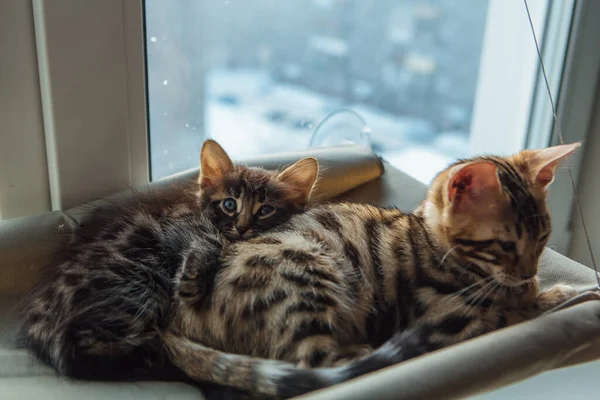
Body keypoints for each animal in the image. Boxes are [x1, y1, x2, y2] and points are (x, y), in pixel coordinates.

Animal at [19, 140, 318, 382]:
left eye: (265, 210)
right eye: (229, 205)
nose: (243, 228)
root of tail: (39, 322)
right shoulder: (178, 224)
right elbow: (207, 243)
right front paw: (192, 283)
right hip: (134, 283)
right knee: (80, 353)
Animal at [164, 142, 580, 398]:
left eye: (543, 239)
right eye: (505, 245)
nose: (526, 274)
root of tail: (172, 321)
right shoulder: (442, 320)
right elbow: (510, 314)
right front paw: (562, 294)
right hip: (303, 271)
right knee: (320, 366)